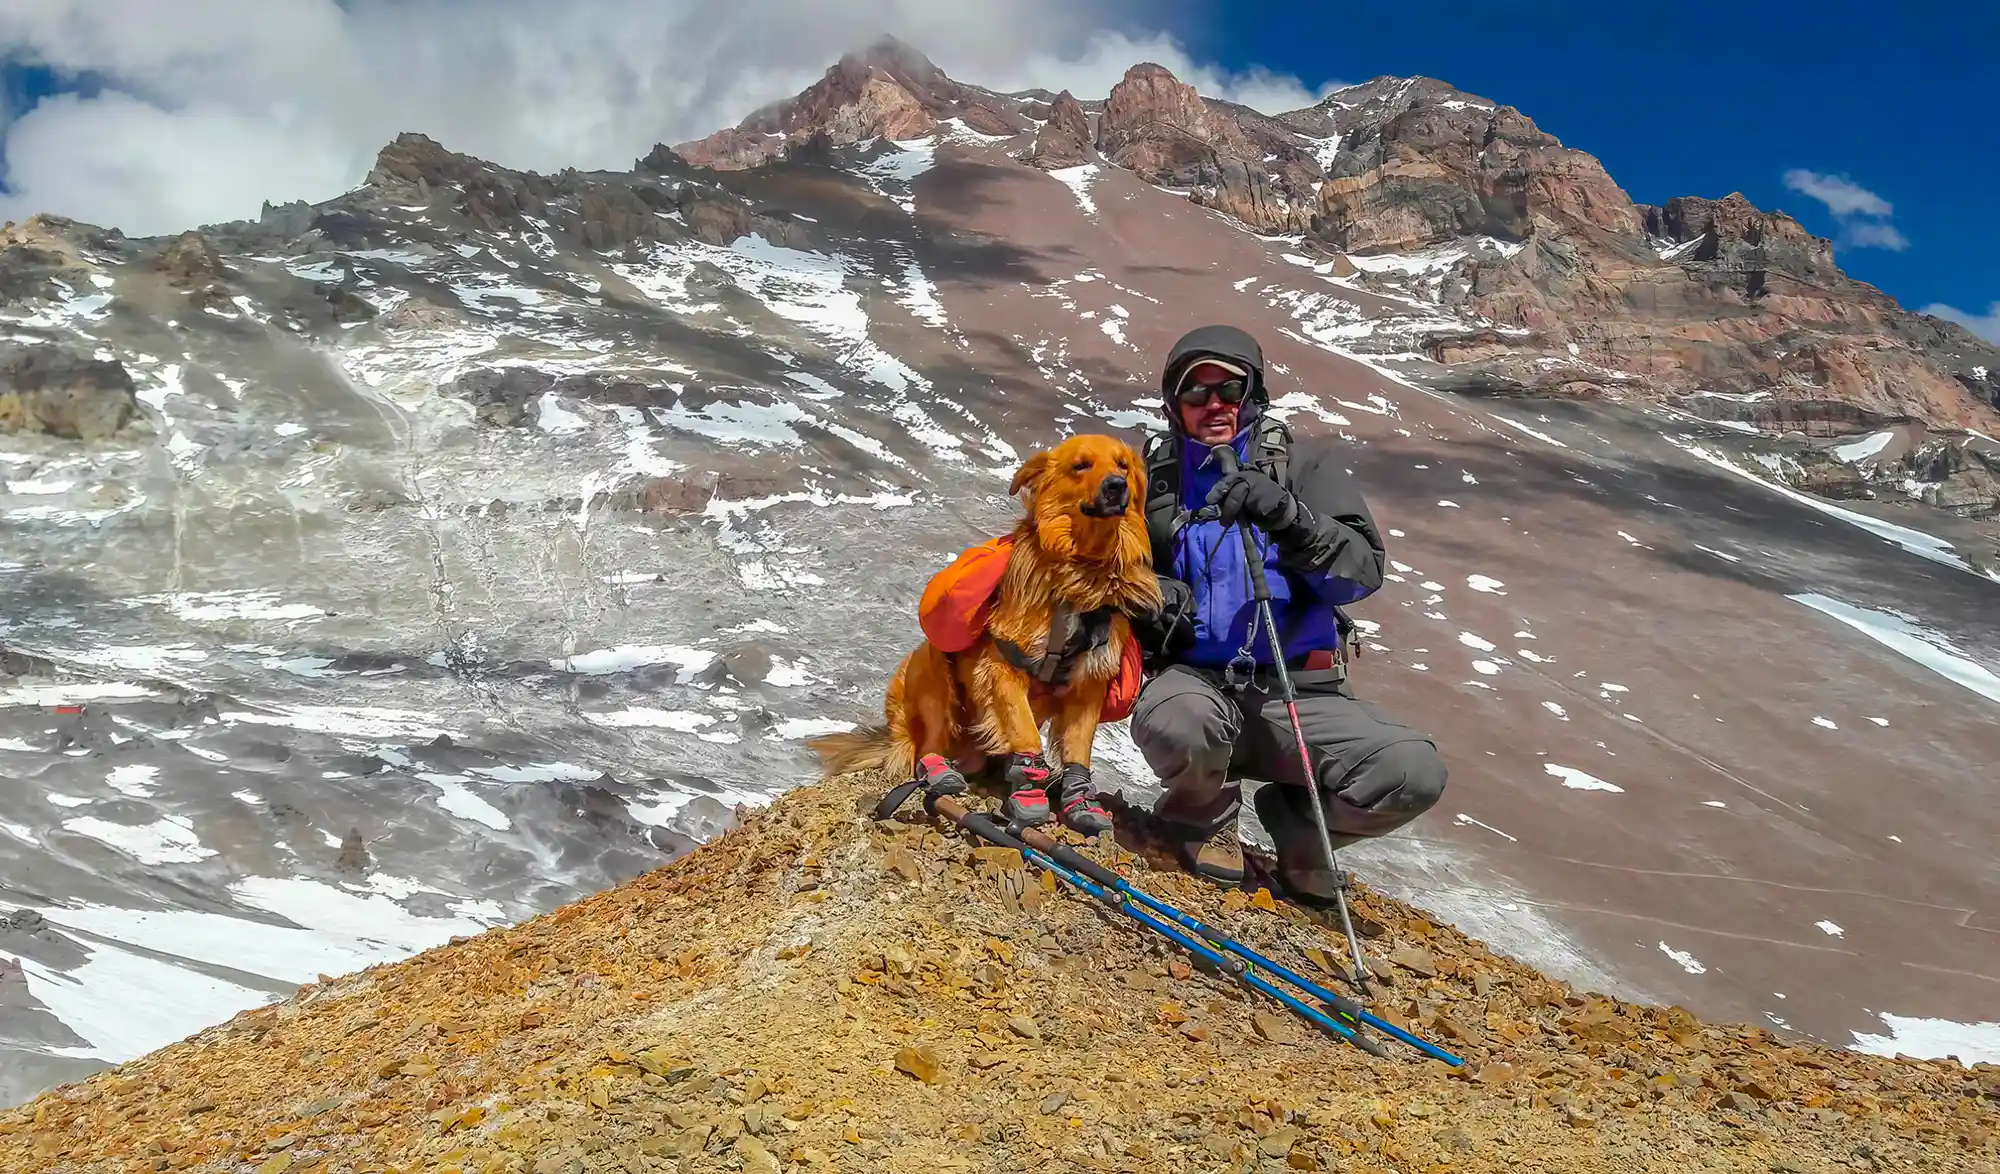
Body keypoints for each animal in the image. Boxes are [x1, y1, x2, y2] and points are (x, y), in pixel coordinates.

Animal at [808, 434, 1160, 828]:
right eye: (1081, 465)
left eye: (1123, 465)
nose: (1117, 486)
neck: (1082, 572)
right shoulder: (1003, 669)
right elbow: (1024, 733)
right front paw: (1029, 794)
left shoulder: (1088, 686)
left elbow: (1078, 751)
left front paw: (1080, 801)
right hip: (930, 668)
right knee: (927, 745)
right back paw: (939, 771)